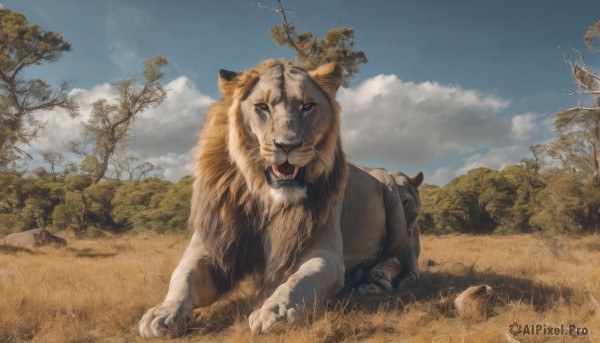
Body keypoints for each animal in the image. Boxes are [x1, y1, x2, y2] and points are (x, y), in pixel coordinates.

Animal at [139, 60, 414, 338]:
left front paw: (273, 311)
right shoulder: (212, 244)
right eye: (262, 106)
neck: (266, 200)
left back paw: (375, 280)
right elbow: (182, 276)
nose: (288, 145)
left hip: (394, 190)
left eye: (307, 106)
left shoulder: (326, 252)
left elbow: (301, 279)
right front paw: (162, 313)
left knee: (398, 258)